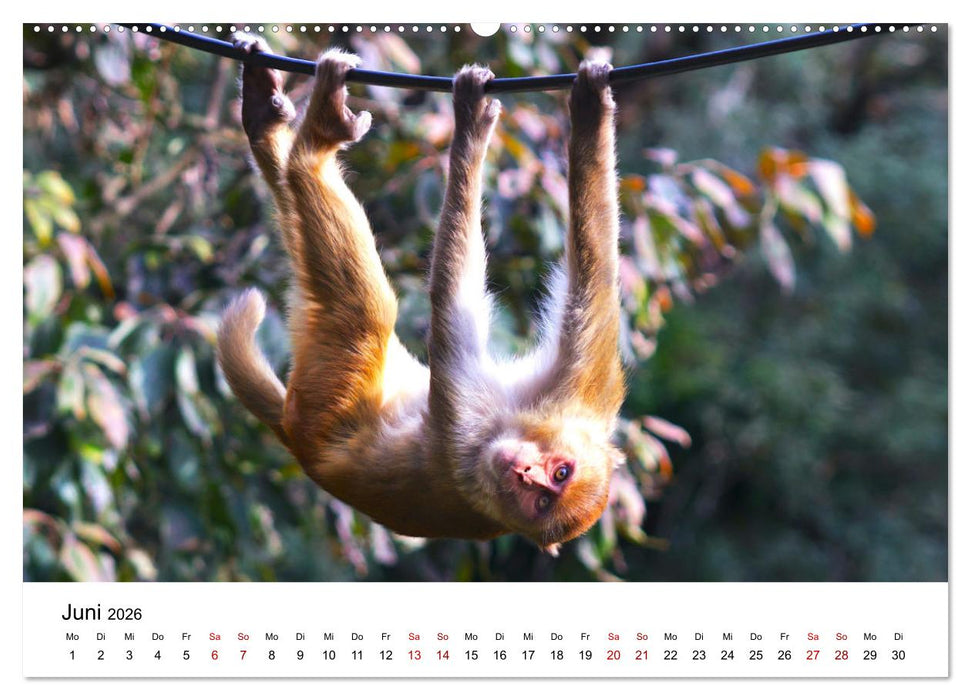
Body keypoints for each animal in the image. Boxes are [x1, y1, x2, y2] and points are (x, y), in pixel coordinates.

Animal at [218, 34, 626, 554]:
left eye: (543, 498)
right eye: (559, 473)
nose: (525, 473)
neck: (502, 430)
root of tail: (292, 438)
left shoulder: (466, 443)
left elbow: (452, 309)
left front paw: (470, 125)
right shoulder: (582, 395)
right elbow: (593, 280)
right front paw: (592, 110)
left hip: (320, 399)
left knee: (364, 309)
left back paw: (315, 142)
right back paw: (265, 120)